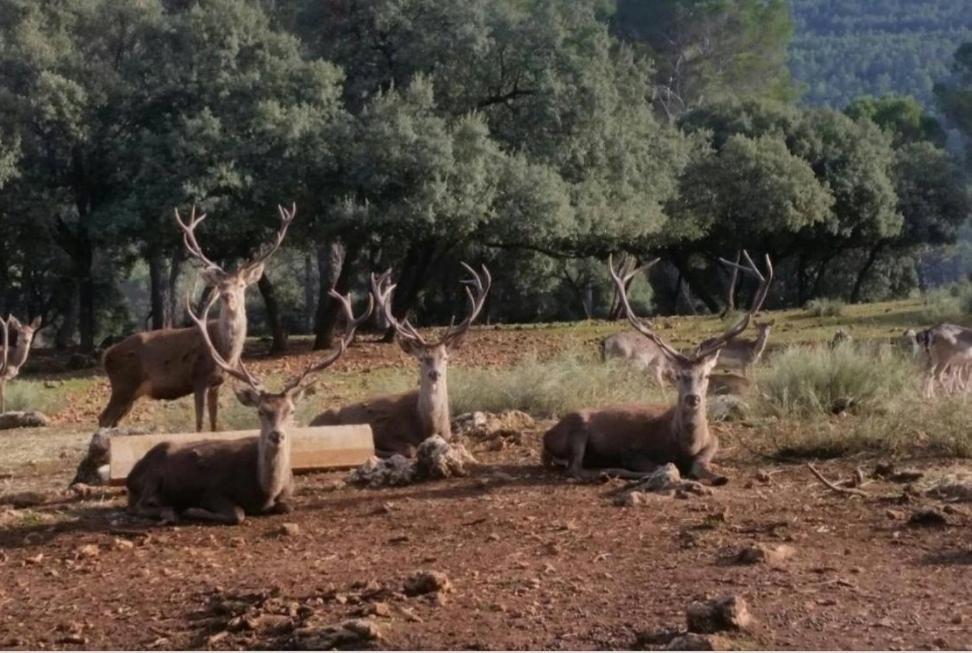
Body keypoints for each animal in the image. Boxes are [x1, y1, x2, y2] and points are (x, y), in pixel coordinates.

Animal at [99, 201, 298, 430]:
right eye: (220, 285)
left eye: (241, 284)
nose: (227, 295)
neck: (225, 352)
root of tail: (106, 355)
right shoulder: (198, 378)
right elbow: (200, 424)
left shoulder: (216, 383)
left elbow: (213, 423)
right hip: (123, 385)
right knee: (103, 418)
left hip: (131, 394)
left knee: (109, 420)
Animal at [129, 286, 372, 524]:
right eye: (261, 411)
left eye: (291, 411)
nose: (277, 435)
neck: (266, 491)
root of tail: (132, 474)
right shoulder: (213, 491)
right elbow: (238, 513)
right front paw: (192, 510)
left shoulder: (288, 494)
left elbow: (288, 506)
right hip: (152, 477)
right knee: (139, 505)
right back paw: (169, 512)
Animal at [310, 262, 494, 456]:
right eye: (422, 358)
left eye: (445, 357)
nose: (434, 373)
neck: (428, 427)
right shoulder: (385, 431)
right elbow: (409, 449)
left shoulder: (449, 434)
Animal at [544, 250, 772, 484]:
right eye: (679, 376)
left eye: (706, 375)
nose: (692, 398)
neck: (686, 446)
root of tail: (546, 436)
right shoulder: (634, 451)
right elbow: (658, 464)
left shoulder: (713, 443)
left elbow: (702, 466)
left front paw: (719, 477)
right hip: (577, 428)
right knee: (574, 468)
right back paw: (610, 473)